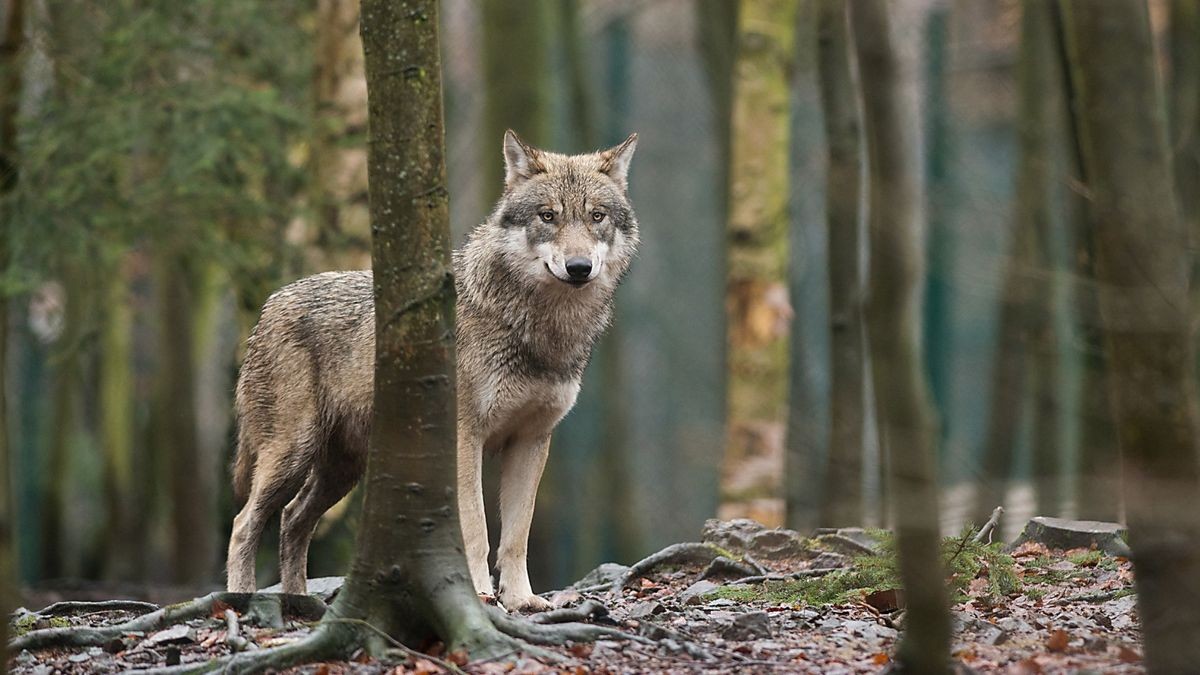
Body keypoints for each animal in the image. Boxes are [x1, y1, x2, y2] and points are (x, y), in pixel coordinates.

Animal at [225, 130, 638, 610]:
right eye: (548, 216)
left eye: (596, 216)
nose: (578, 267)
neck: (540, 329)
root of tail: (270, 304)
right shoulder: (464, 438)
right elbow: (476, 529)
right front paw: (479, 595)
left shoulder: (531, 440)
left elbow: (517, 536)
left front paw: (521, 600)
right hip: (292, 454)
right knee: (244, 523)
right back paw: (241, 599)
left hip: (342, 470)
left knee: (292, 519)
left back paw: (299, 602)